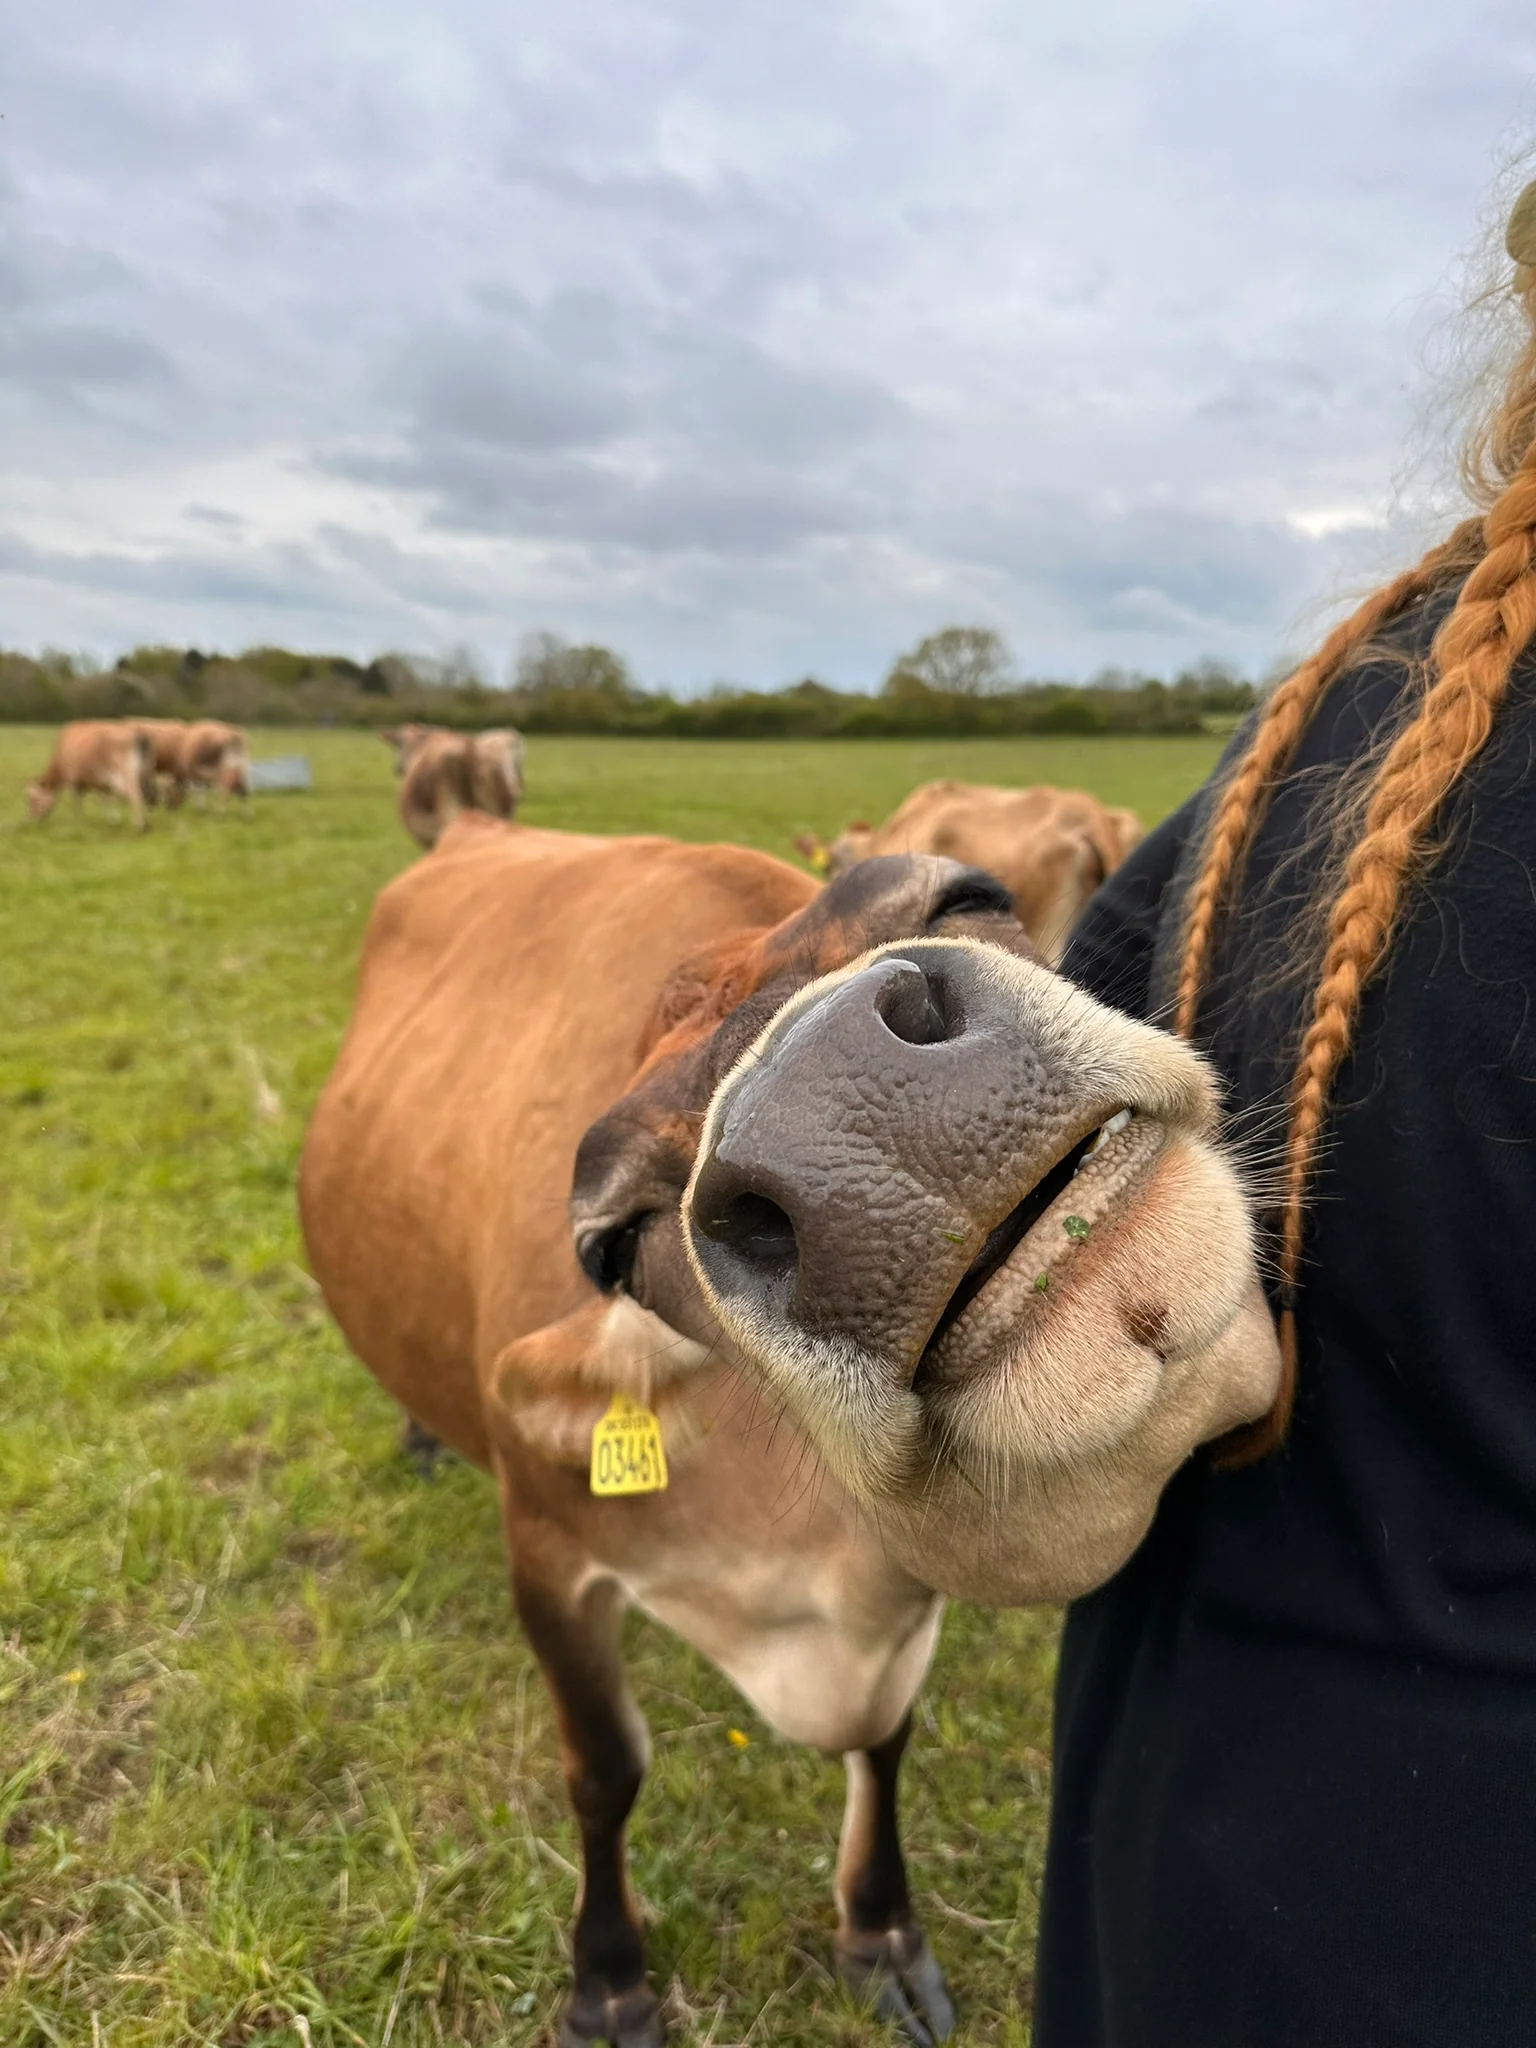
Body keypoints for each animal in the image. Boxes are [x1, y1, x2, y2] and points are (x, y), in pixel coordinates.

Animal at [300, 819, 1279, 2043]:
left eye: (969, 895)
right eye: (615, 1244)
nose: (838, 1104)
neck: (816, 1573)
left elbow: (886, 1737)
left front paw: (880, 1932)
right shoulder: (547, 1548)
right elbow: (604, 1770)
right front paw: (608, 1983)